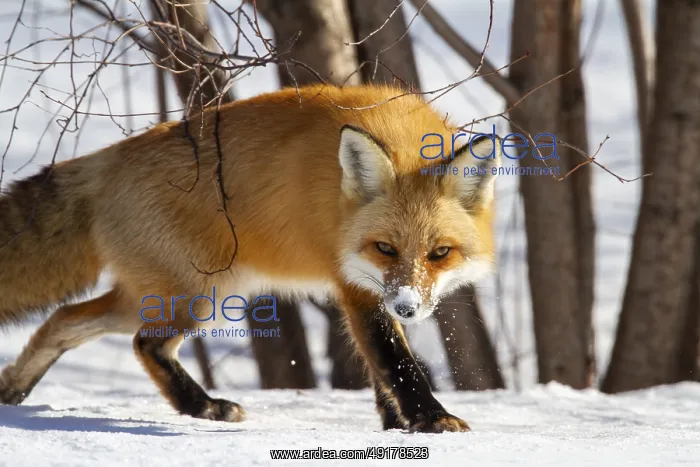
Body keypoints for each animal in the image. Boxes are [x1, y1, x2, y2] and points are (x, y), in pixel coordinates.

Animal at [0, 84, 502, 433]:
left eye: (440, 253)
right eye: (385, 248)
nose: (407, 308)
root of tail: (111, 157)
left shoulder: (366, 288)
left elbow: (382, 367)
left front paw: (396, 424)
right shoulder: (357, 284)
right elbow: (395, 360)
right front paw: (431, 420)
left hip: (157, 295)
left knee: (63, 320)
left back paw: (13, 389)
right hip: (198, 296)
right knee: (145, 344)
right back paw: (203, 407)